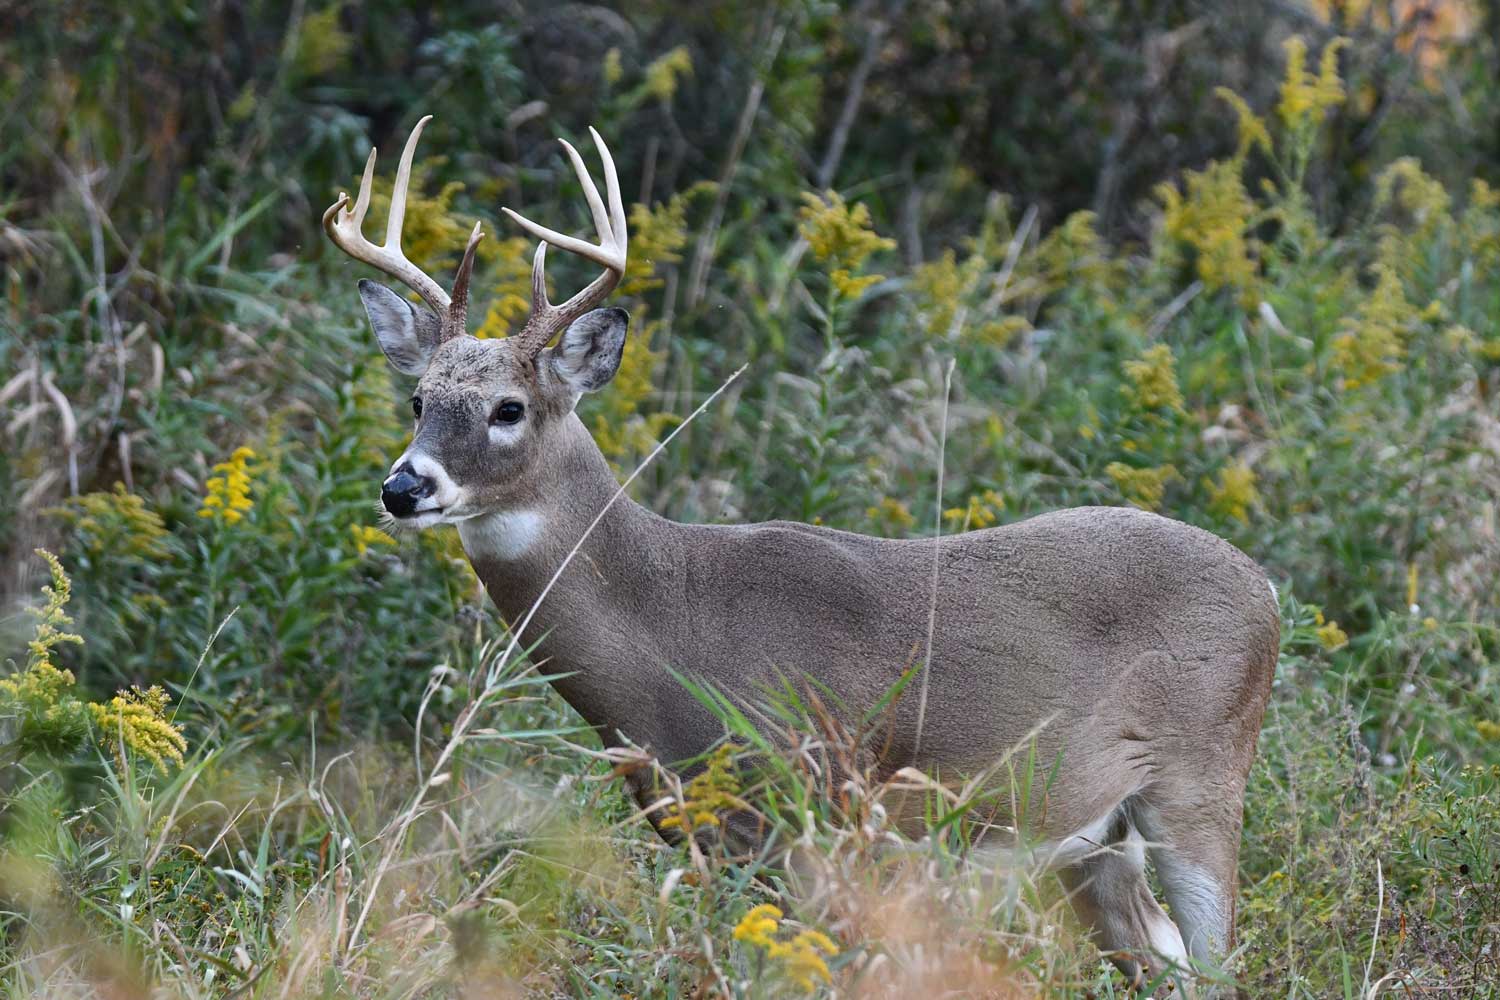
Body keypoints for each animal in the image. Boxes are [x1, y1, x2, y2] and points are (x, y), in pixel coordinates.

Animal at [325, 117, 1278, 995]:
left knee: (1217, 957)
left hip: (1201, 779)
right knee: (1162, 957)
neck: (672, 630)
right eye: (418, 399)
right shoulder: (709, 832)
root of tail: (1267, 589)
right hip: (1093, 835)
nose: (403, 487)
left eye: (509, 408)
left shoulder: (822, 808)